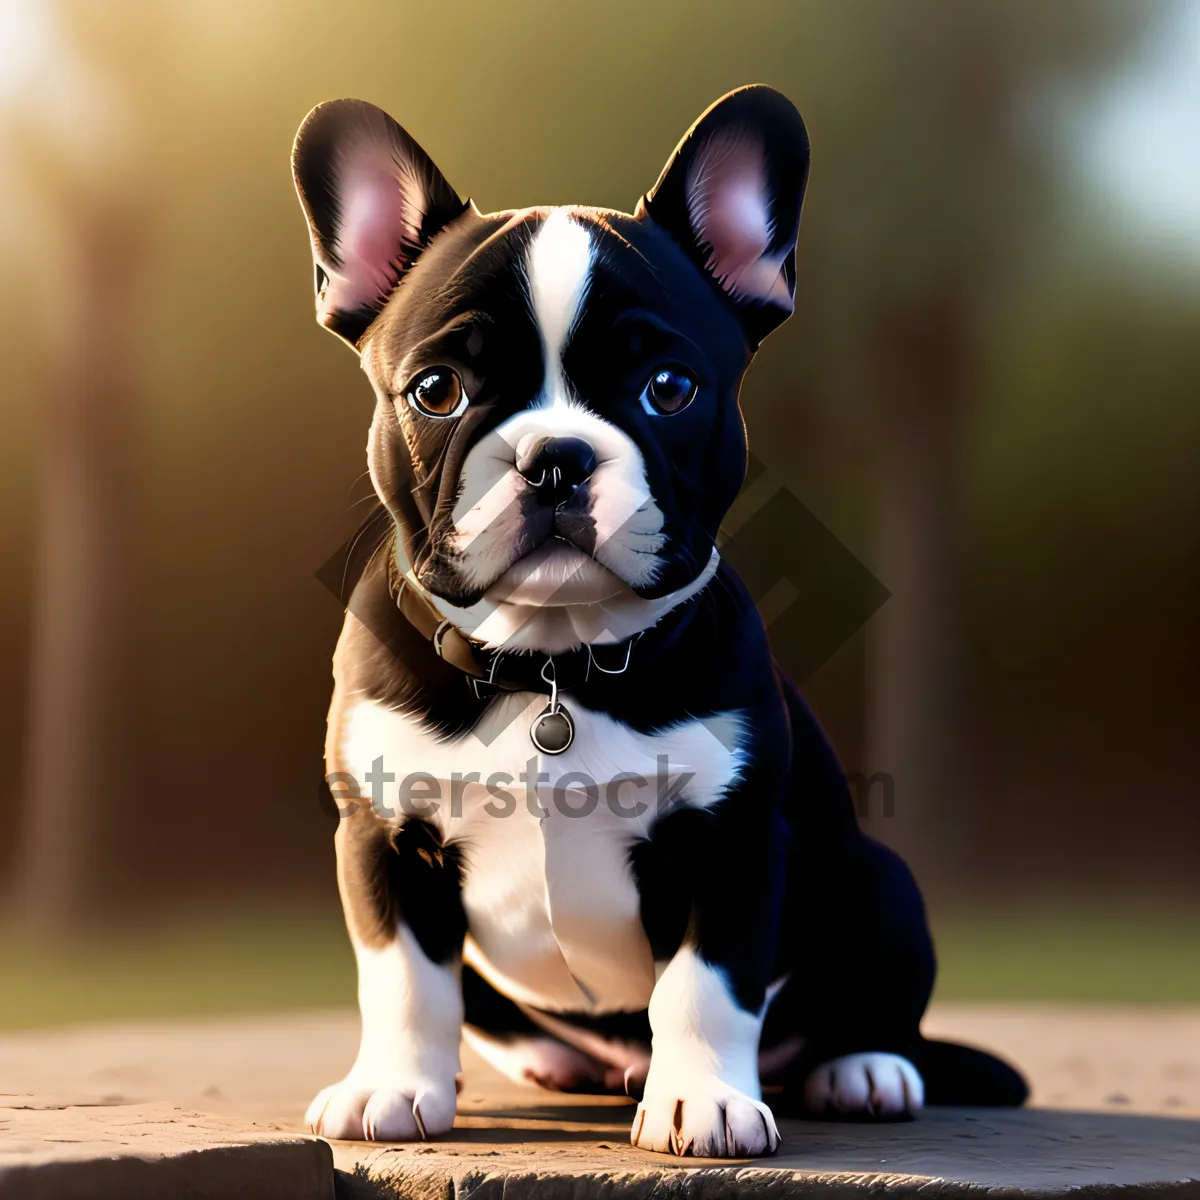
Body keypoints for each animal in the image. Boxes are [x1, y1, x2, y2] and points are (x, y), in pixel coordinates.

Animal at [288, 88, 1022, 1156]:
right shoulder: (384, 840)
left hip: (883, 884)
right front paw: (391, 1085)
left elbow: (706, 988)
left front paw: (703, 1101)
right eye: (437, 390)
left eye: (668, 389)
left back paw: (863, 1069)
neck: (552, 662)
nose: (555, 456)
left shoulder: (732, 840)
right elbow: (404, 979)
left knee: (869, 1006)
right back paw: (565, 1062)